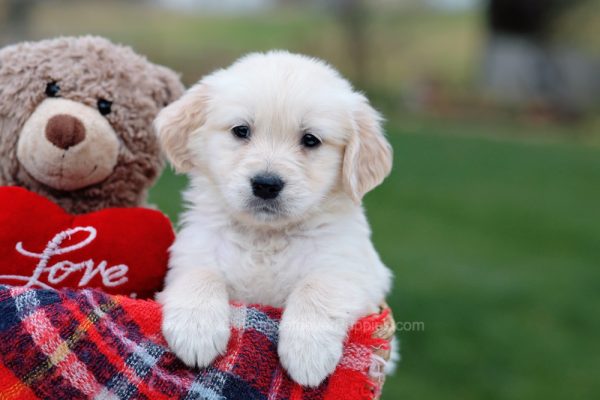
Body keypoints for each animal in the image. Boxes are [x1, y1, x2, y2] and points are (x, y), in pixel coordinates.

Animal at [154, 51, 394, 386]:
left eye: (310, 140)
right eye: (241, 131)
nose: (266, 184)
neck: (266, 235)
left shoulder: (356, 271)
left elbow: (317, 286)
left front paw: (307, 354)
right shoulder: (193, 252)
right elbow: (200, 275)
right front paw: (196, 331)